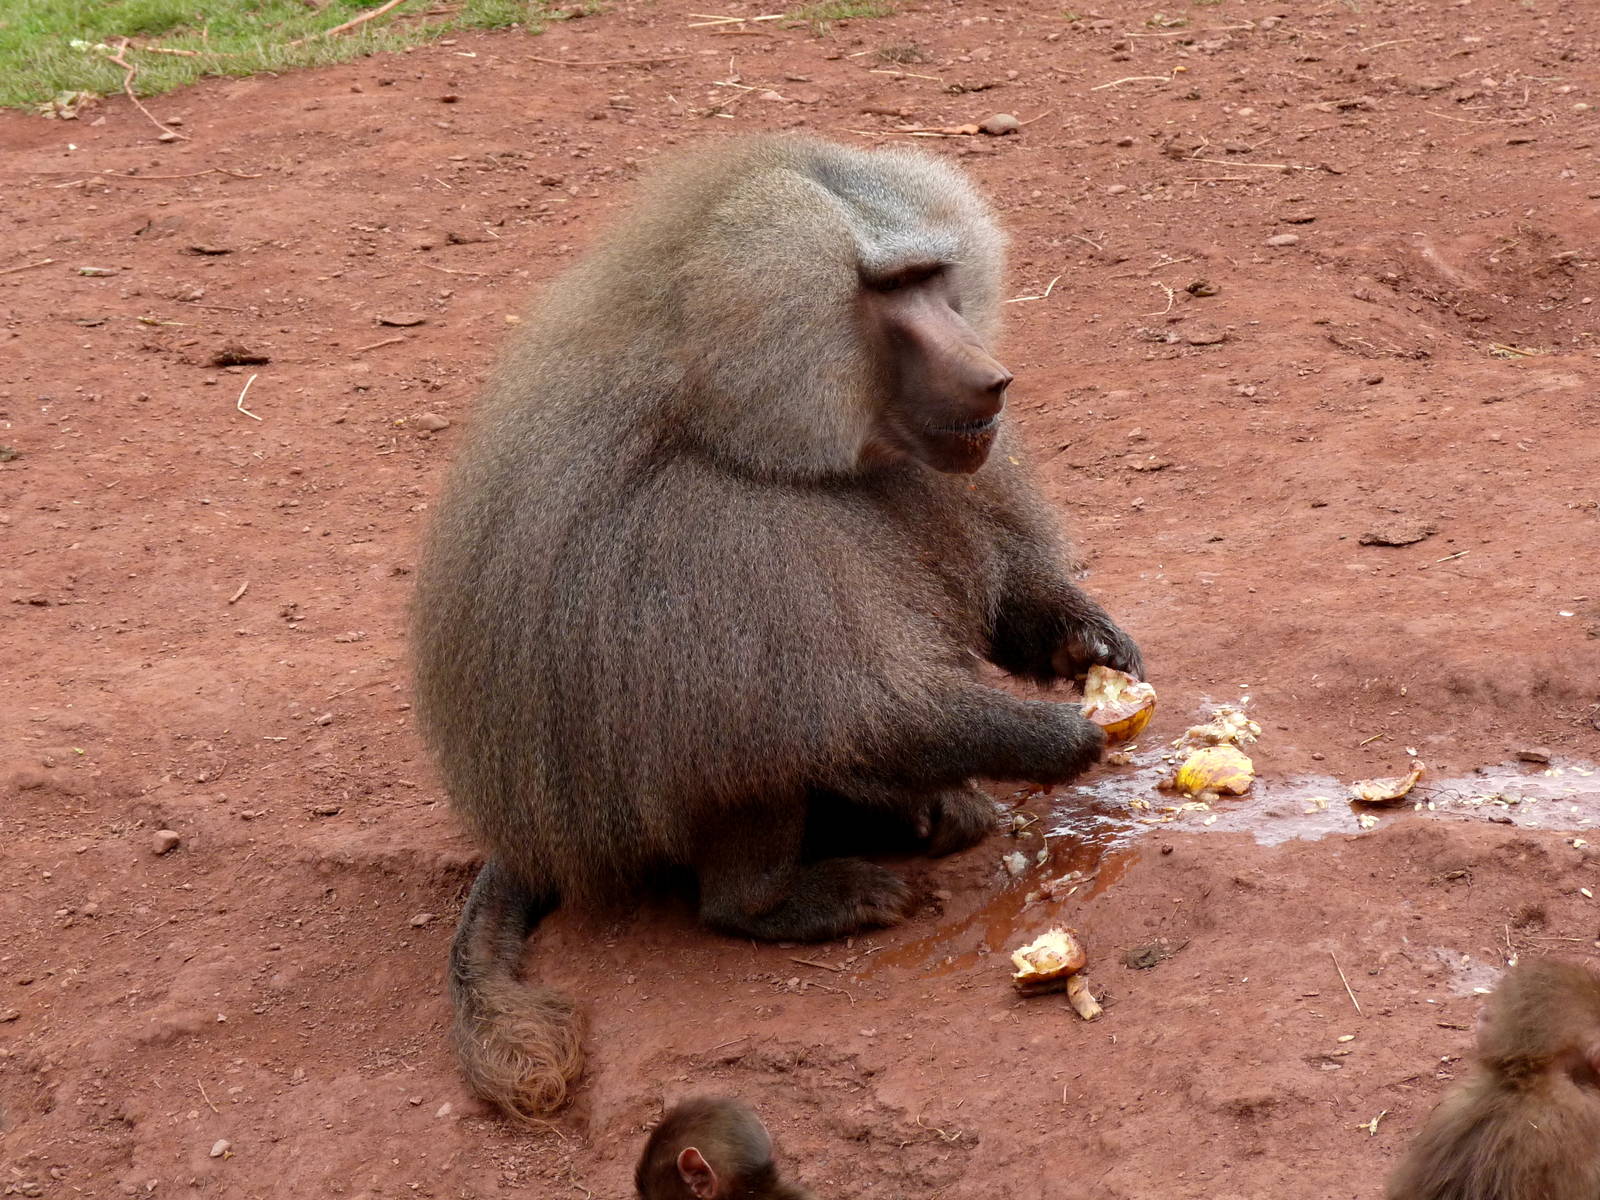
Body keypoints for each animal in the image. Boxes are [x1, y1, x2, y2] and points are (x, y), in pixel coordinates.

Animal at [410, 134, 1143, 1121]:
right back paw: (786, 899)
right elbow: (868, 713)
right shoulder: (717, 530)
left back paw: (922, 815)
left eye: (933, 278)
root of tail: (528, 841)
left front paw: (1089, 646)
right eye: (888, 291)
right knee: (745, 731)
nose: (993, 378)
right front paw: (1056, 737)